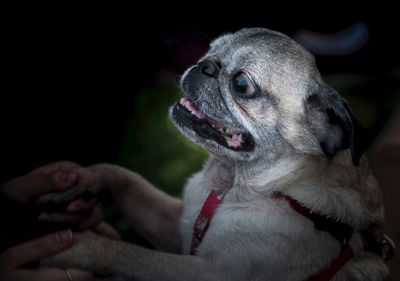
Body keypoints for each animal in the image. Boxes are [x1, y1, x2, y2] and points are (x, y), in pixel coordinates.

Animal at [39, 28, 392, 280]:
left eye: (241, 84)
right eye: (210, 49)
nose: (205, 65)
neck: (231, 183)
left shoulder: (208, 272)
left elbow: (128, 253)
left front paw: (78, 247)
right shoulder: (174, 226)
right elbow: (124, 177)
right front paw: (80, 180)